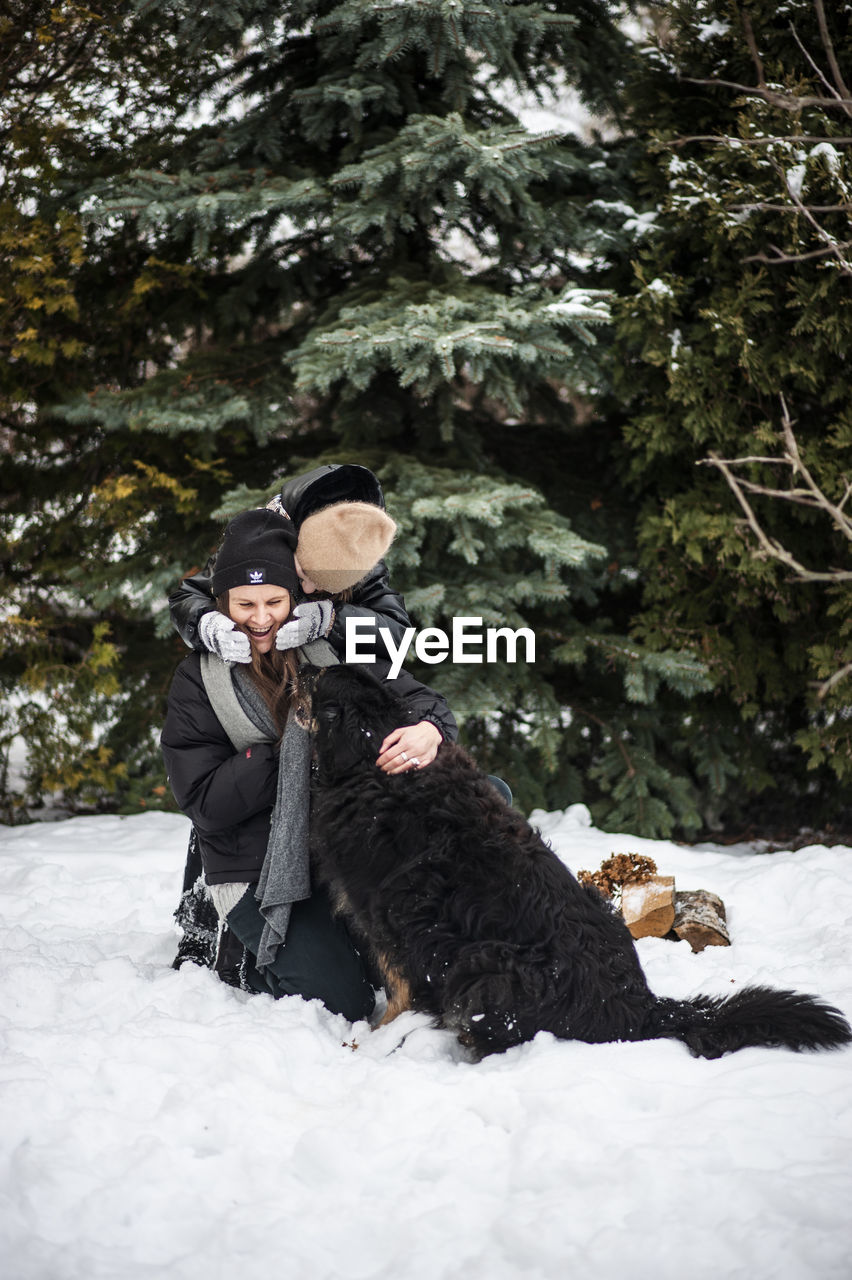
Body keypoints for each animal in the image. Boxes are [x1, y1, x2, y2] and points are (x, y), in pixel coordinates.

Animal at [308, 660, 844, 1059]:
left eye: (319, 687)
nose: (316, 657)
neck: (374, 758)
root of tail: (642, 1006)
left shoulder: (398, 921)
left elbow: (402, 992)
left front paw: (372, 1042)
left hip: (487, 963)